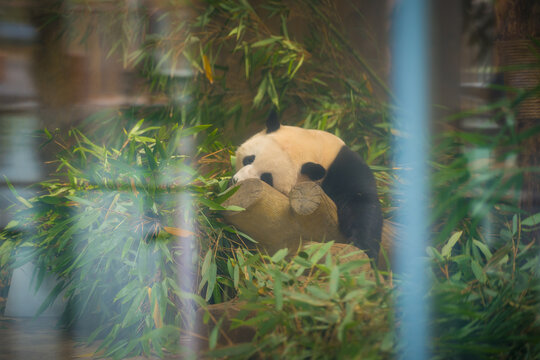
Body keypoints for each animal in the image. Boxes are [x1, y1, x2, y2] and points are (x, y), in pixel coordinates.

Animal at [232, 110, 384, 258]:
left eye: (267, 178)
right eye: (248, 159)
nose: (236, 182)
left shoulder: (346, 169)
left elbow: (361, 202)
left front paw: (362, 247)